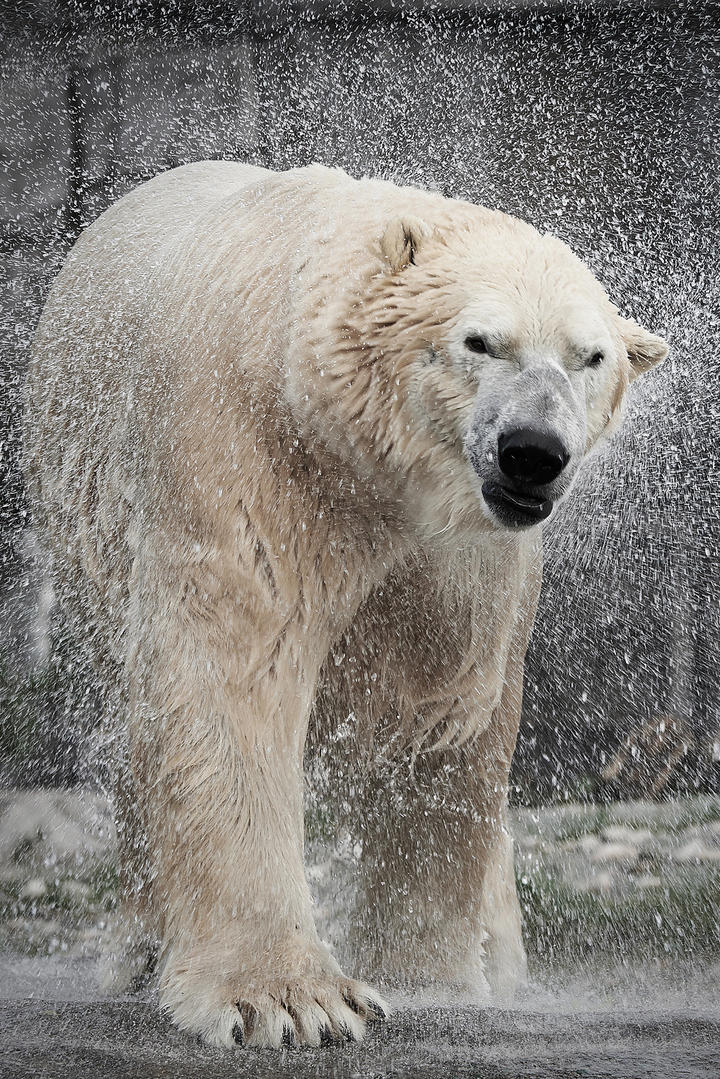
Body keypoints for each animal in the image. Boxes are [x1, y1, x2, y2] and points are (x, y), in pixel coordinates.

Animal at [23, 164, 669, 1048]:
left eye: (590, 356)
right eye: (480, 341)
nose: (533, 452)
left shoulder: (463, 552)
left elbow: (444, 710)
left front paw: (432, 977)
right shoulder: (250, 451)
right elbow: (234, 675)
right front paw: (290, 1000)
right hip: (84, 521)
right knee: (130, 730)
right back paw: (143, 948)